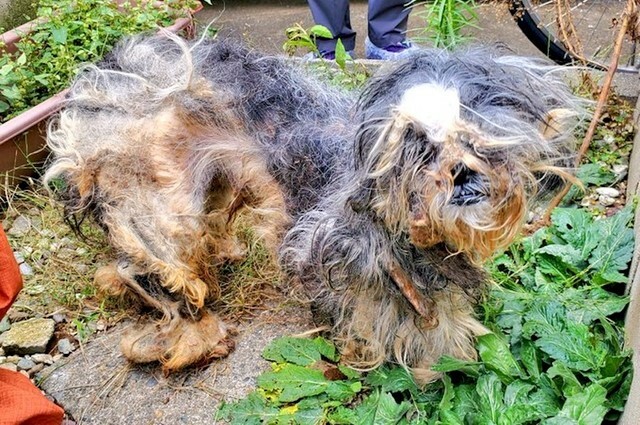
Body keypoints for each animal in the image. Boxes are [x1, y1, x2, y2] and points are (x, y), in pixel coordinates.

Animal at [43, 34, 584, 380]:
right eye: (417, 147)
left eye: (481, 136)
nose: (461, 173)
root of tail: (114, 77)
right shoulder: (354, 259)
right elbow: (398, 317)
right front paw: (434, 365)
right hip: (161, 207)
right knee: (157, 273)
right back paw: (194, 338)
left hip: (211, 183)